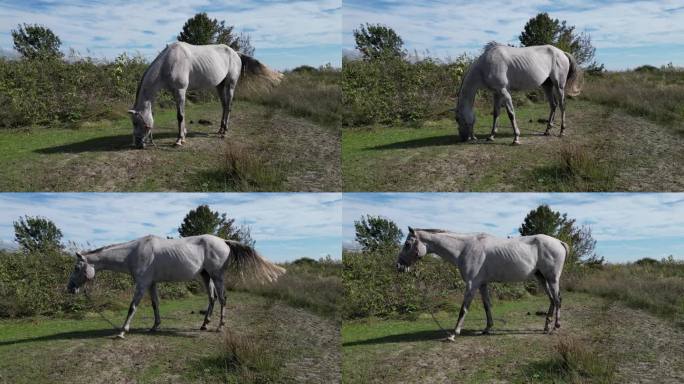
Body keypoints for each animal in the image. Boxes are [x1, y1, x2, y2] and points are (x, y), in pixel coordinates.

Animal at [65, 234, 284, 340]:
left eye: (76, 267)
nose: (70, 288)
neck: (134, 252)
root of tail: (223, 241)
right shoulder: (151, 284)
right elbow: (155, 304)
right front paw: (155, 326)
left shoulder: (142, 284)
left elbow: (132, 307)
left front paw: (122, 332)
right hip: (205, 276)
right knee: (212, 298)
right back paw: (204, 324)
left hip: (217, 276)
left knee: (222, 299)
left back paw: (219, 327)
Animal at [130, 42, 282, 148]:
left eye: (136, 122)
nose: (138, 144)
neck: (170, 61)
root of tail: (235, 53)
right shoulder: (175, 92)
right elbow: (181, 115)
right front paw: (184, 135)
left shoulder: (180, 91)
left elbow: (180, 116)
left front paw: (179, 140)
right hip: (220, 86)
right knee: (224, 106)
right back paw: (220, 130)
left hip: (230, 85)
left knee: (229, 106)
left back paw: (225, 132)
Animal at [396, 226, 568, 340]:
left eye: (407, 244)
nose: (399, 266)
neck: (464, 248)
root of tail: (559, 242)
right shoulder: (482, 284)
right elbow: (487, 306)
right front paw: (487, 329)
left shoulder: (472, 285)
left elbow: (463, 309)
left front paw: (453, 334)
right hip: (542, 278)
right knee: (552, 300)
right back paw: (546, 327)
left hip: (552, 279)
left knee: (558, 300)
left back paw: (555, 327)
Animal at [454, 43, 584, 146]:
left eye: (457, 119)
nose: (463, 138)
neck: (486, 65)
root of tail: (562, 53)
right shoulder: (496, 93)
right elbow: (496, 113)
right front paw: (491, 136)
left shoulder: (504, 92)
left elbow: (511, 114)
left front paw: (516, 138)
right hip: (547, 85)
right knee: (553, 105)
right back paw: (547, 130)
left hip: (559, 86)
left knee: (562, 105)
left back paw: (562, 131)